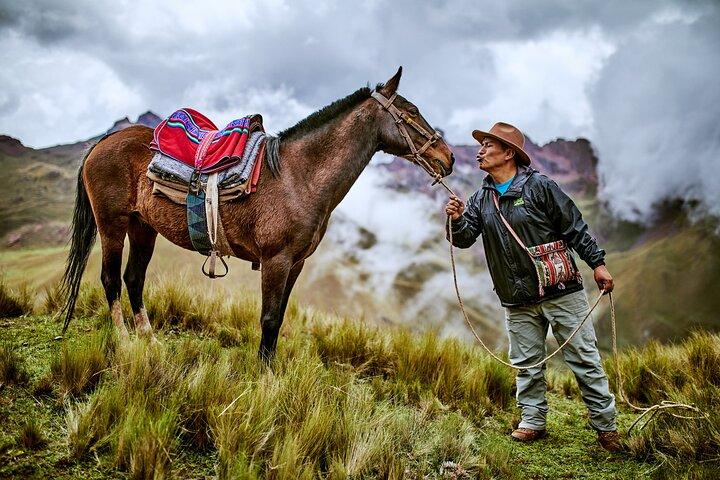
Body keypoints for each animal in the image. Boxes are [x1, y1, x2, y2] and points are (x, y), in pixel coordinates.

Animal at [59, 67, 455, 361]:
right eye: (411, 112)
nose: (447, 158)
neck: (299, 176)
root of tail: (103, 143)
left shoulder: (296, 263)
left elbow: (278, 319)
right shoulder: (275, 260)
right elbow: (267, 318)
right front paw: (264, 378)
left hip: (143, 227)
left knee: (134, 278)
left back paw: (150, 340)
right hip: (112, 224)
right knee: (111, 279)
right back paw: (125, 341)